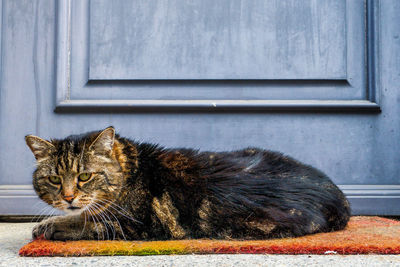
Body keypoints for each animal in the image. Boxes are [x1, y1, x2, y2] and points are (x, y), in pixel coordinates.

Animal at [25, 126, 350, 242]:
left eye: (85, 176)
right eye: (54, 179)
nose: (68, 197)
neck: (131, 169)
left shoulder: (136, 223)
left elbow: (86, 222)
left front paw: (50, 226)